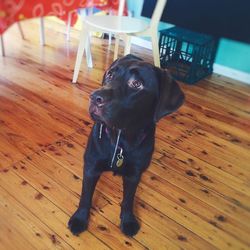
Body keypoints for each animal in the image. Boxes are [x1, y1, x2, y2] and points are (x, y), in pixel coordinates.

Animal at [67, 54, 185, 236]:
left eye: (136, 84)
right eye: (110, 75)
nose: (95, 97)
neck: (120, 140)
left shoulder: (134, 174)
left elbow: (129, 199)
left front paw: (128, 220)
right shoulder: (91, 167)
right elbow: (86, 195)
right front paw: (80, 219)